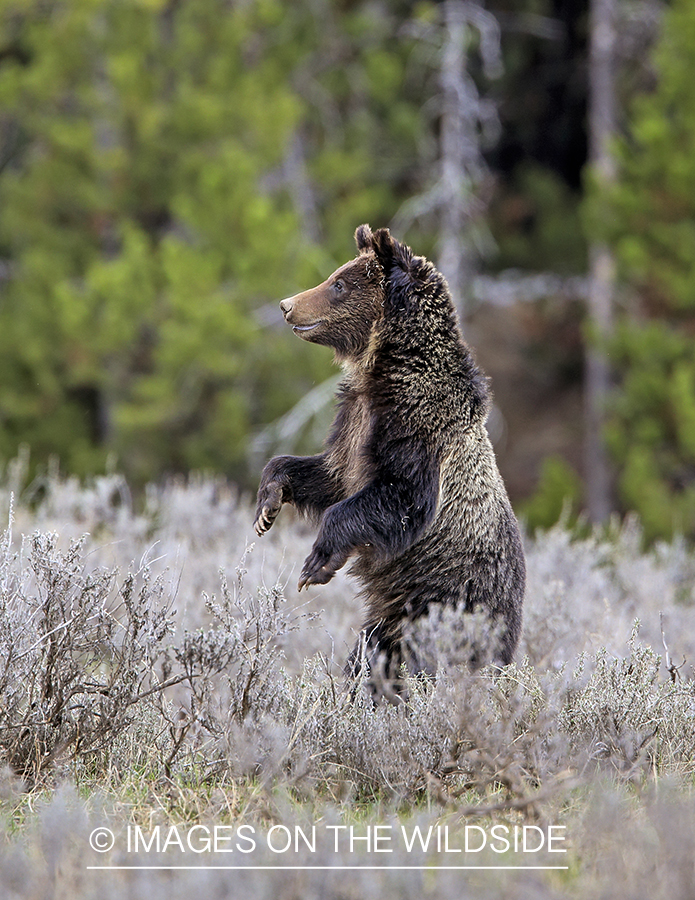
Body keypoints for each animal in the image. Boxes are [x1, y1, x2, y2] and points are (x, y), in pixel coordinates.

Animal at [254, 225, 525, 689]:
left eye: (339, 284)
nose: (287, 305)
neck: (385, 369)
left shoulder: (415, 430)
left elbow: (399, 498)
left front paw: (315, 564)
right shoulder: (354, 424)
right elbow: (328, 477)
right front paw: (267, 505)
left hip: (440, 602)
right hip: (392, 619)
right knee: (372, 653)